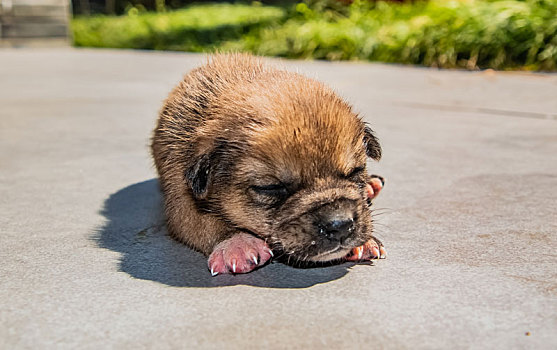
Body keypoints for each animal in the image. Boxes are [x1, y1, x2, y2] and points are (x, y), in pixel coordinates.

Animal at [152, 53, 386, 274]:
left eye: (355, 171)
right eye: (270, 188)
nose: (340, 224)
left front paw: (364, 241)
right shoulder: (181, 199)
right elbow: (203, 222)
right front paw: (238, 243)